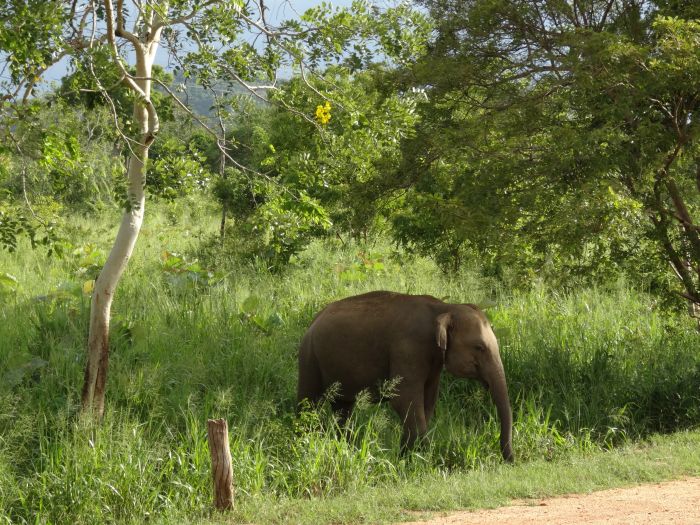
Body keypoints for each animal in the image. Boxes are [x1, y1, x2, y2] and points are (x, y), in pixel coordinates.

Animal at [296, 288, 516, 460]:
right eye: (479, 347)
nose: (509, 461)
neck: (444, 308)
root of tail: (312, 322)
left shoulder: (432, 361)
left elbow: (426, 402)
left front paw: (406, 457)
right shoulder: (408, 347)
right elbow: (404, 400)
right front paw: (425, 459)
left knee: (343, 408)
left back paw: (346, 449)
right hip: (309, 358)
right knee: (309, 402)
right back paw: (304, 443)